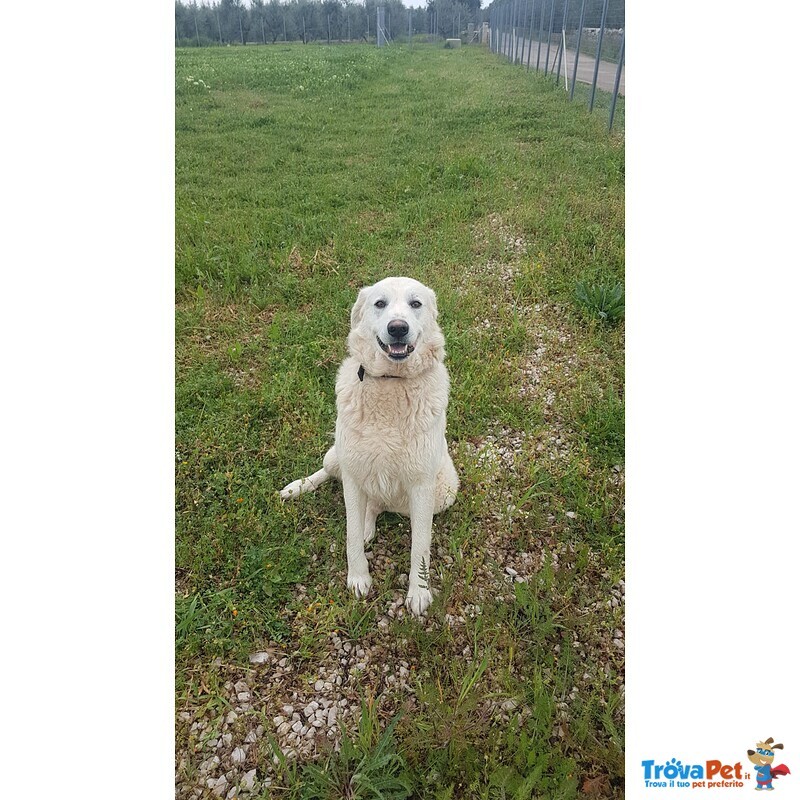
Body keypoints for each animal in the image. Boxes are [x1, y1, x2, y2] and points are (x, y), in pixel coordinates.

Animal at [280, 278, 456, 616]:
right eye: (380, 303)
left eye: (416, 304)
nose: (398, 328)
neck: (390, 382)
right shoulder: (352, 475)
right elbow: (349, 535)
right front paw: (358, 577)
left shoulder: (422, 485)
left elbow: (421, 546)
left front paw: (419, 592)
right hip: (339, 456)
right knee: (328, 474)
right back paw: (298, 488)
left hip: (445, 491)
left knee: (377, 505)